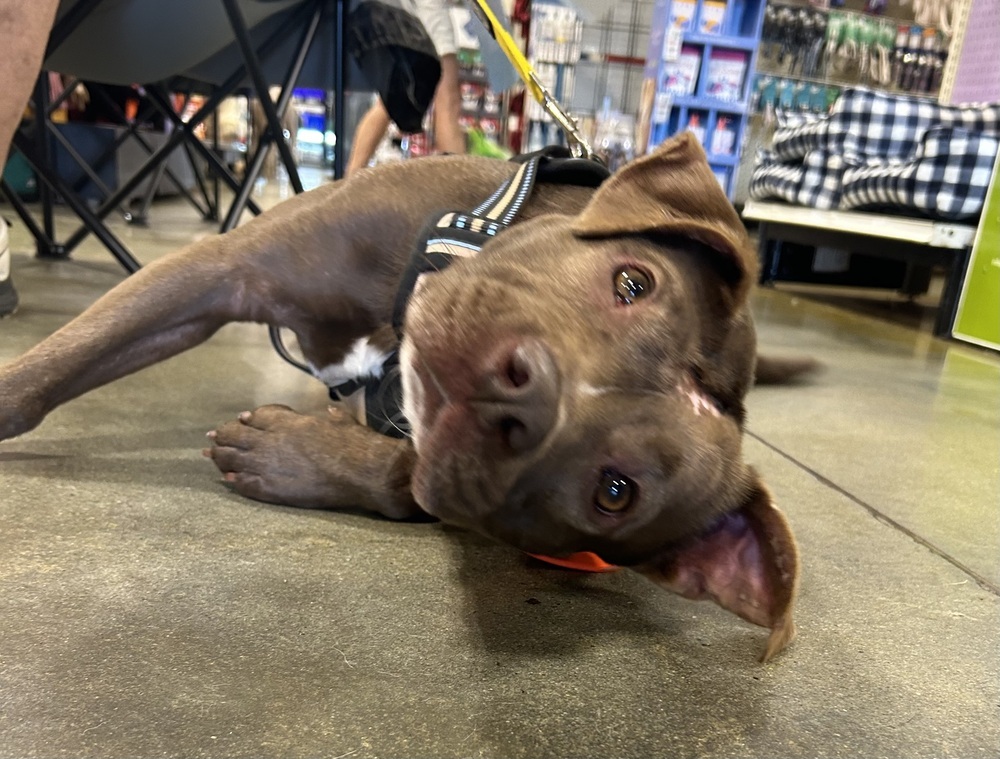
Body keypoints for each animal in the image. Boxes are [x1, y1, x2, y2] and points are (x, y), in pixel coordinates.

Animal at [0, 134, 804, 664]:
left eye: (614, 491)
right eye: (633, 282)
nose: (526, 396)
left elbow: (404, 480)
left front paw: (291, 453)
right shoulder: (230, 266)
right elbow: (54, 368)